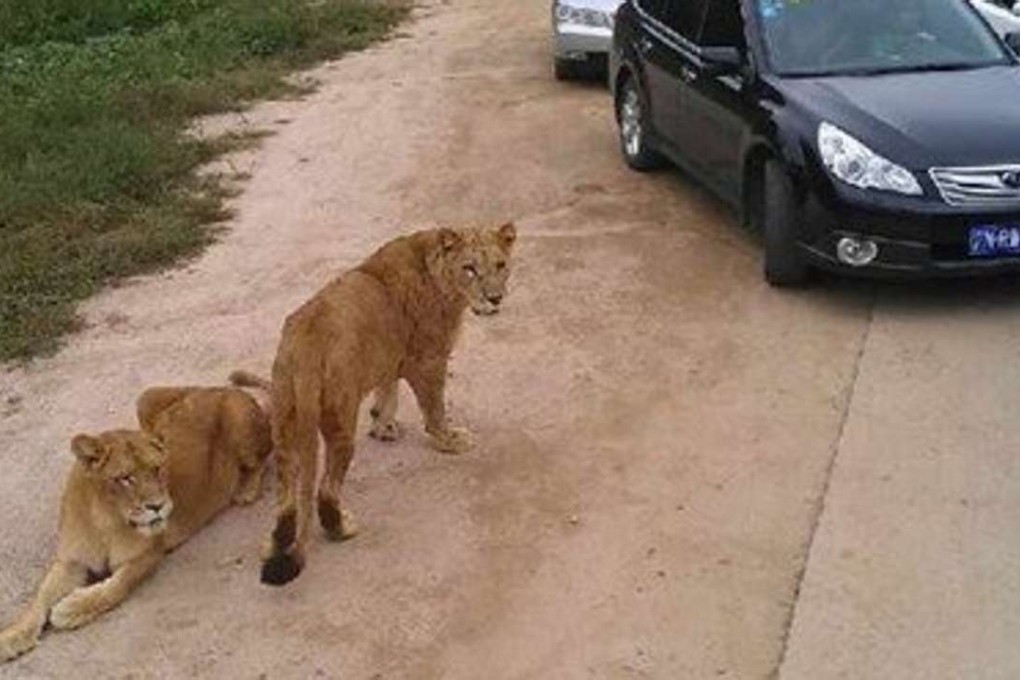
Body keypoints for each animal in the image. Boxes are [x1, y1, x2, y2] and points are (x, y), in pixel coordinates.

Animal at [0, 382, 271, 663]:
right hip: (145, 398)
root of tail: (222, 388)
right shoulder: (71, 560)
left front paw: (71, 608)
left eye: (157, 469)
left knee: (266, 455)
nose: (158, 506)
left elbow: (117, 586)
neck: (105, 519)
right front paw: (13, 636)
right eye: (126, 478)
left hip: (241, 426)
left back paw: (246, 490)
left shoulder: (148, 554)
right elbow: (39, 598)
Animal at [253, 223, 517, 586]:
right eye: (470, 268)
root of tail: (305, 350)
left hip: (285, 422)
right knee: (325, 491)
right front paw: (449, 440)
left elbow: (387, 391)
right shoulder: (428, 360)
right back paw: (342, 528)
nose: (495, 298)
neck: (438, 273)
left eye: (501, 265)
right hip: (340, 422)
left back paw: (276, 544)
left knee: (287, 500)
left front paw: (383, 426)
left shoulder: (389, 354)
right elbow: (434, 409)